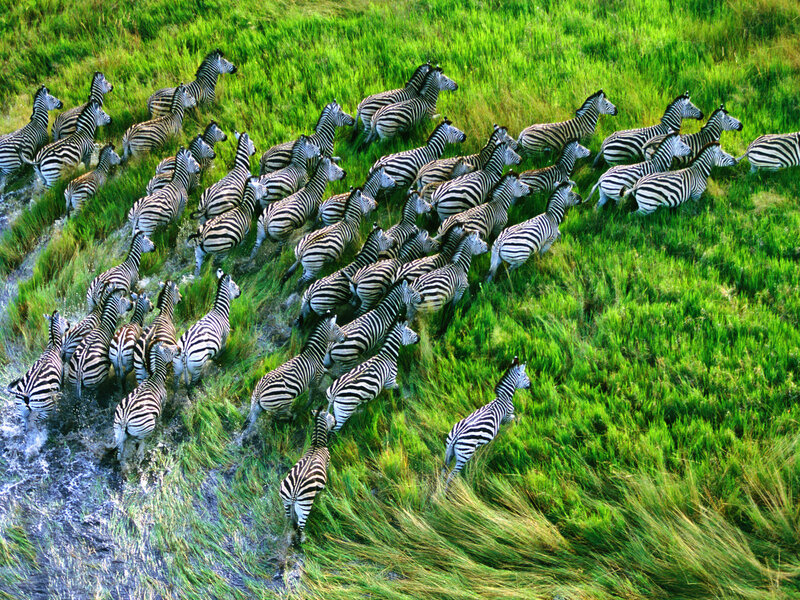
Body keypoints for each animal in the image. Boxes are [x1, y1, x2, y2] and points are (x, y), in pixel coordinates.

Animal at [279, 409, 337, 544]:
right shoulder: (327, 463)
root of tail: (294, 493)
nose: (336, 422)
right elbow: (322, 490)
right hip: (304, 506)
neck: (317, 444)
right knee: (300, 527)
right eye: (331, 416)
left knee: (289, 521)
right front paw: (321, 499)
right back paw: (302, 540)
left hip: (286, 502)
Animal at [443, 357, 531, 488]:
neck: (503, 398)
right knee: (451, 475)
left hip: (448, 451)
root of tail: (456, 436)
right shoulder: (507, 416)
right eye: (525, 376)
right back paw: (448, 490)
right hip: (465, 454)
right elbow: (514, 418)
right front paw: (515, 428)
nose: (531, 385)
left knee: (443, 470)